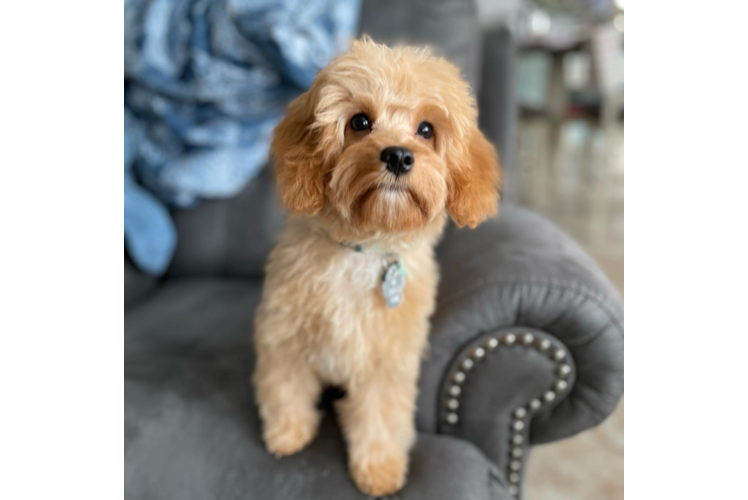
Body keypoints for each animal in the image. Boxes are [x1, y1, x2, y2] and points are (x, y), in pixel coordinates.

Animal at [253, 38, 502, 496]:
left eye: (426, 130)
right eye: (360, 122)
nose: (399, 156)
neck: (362, 249)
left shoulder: (389, 360)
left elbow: (381, 416)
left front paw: (379, 468)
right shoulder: (283, 335)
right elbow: (285, 385)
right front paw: (287, 432)